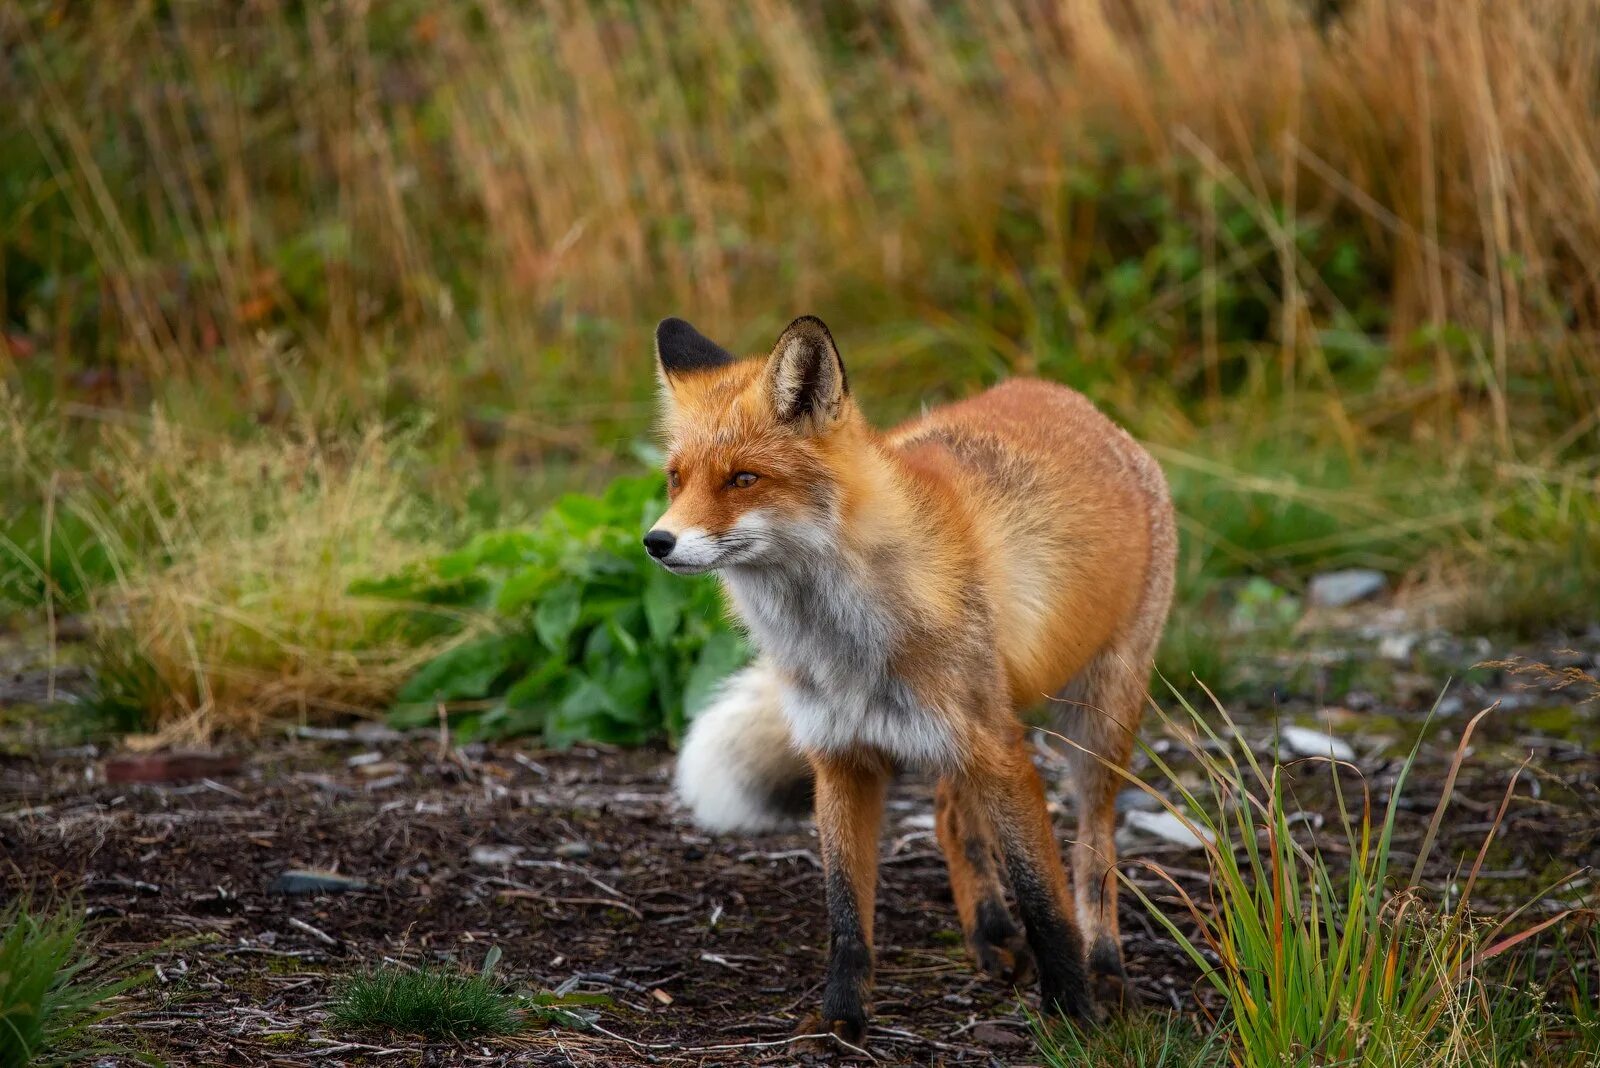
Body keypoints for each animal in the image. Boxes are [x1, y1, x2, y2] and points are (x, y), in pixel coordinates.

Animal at [643, 314, 1184, 1042]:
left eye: (743, 478)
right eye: (676, 479)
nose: (657, 542)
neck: (842, 640)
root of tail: (1078, 403)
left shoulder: (1001, 751)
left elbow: (1046, 901)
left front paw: (1072, 1012)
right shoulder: (839, 753)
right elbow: (846, 911)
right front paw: (841, 1018)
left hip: (1095, 717)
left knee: (1093, 852)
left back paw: (1106, 969)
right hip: (963, 729)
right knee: (951, 812)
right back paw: (988, 931)